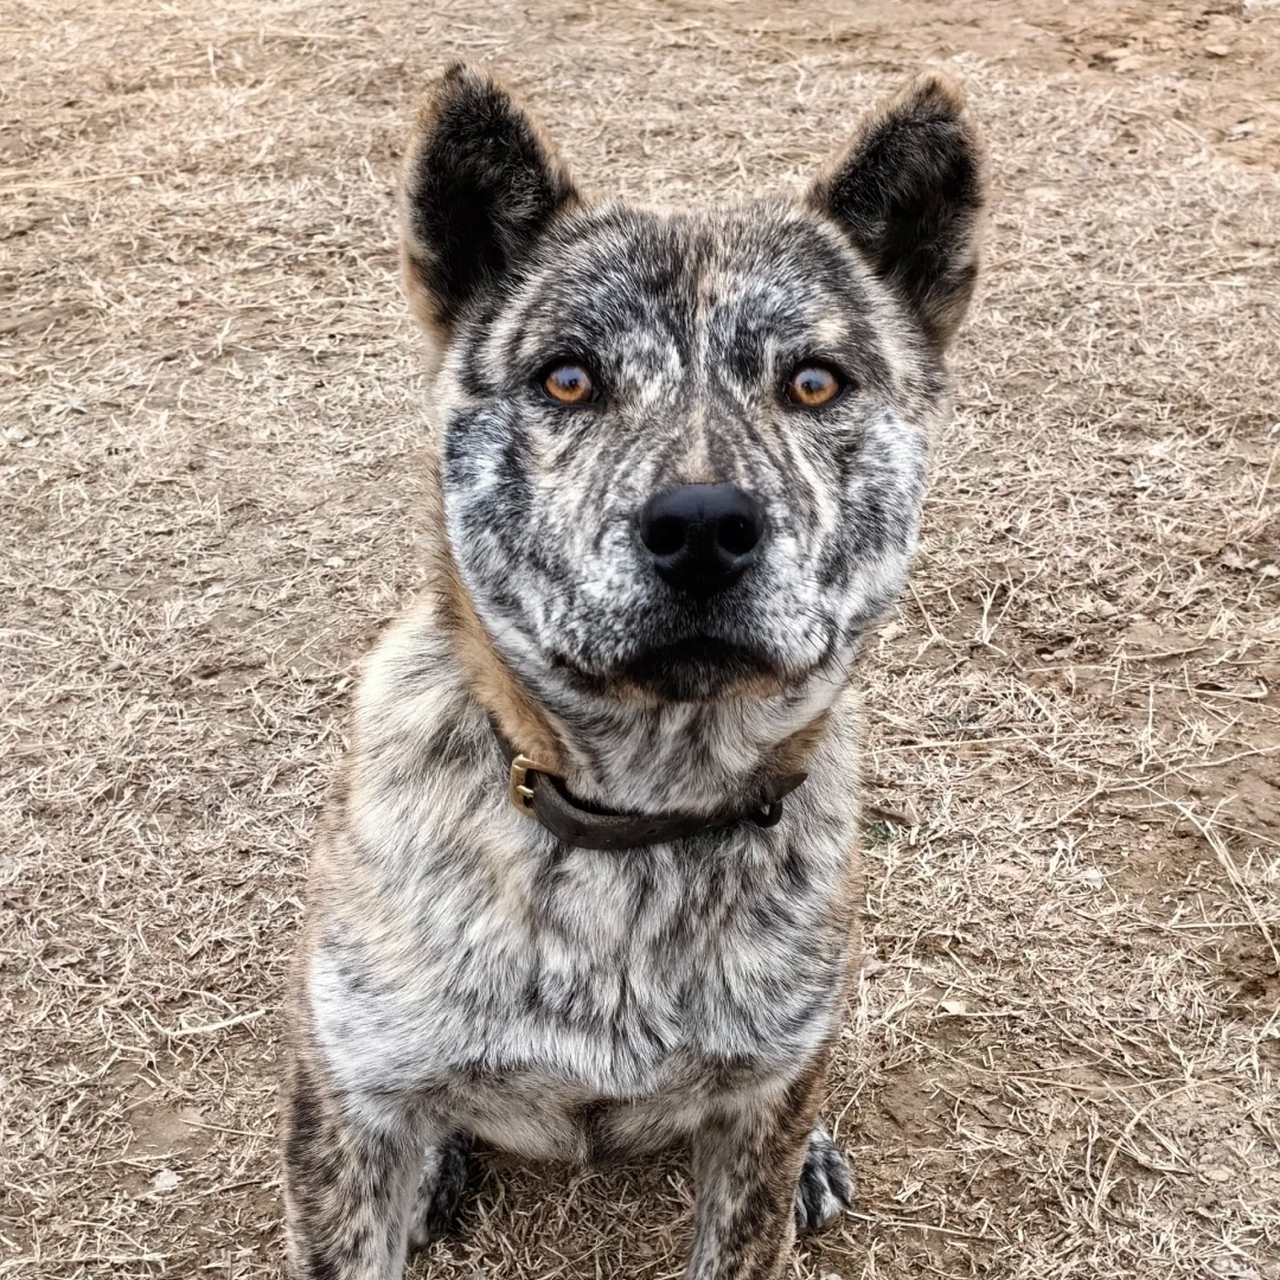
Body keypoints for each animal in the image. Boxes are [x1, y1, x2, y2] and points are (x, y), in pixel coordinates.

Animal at [277, 62, 977, 1280]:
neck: (639, 821)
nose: (700, 528)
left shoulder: (754, 1113)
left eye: (812, 382)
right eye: (566, 379)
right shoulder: (349, 1106)